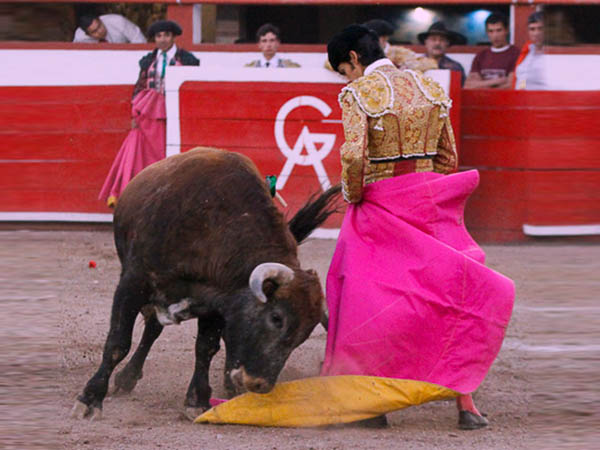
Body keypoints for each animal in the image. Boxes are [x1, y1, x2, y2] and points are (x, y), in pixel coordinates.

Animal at [71, 149, 338, 422]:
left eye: (303, 336)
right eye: (276, 317)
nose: (258, 384)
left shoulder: (217, 302)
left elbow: (206, 347)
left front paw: (196, 400)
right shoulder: (133, 283)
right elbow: (118, 342)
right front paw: (90, 399)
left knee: (157, 329)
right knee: (150, 329)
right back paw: (126, 379)